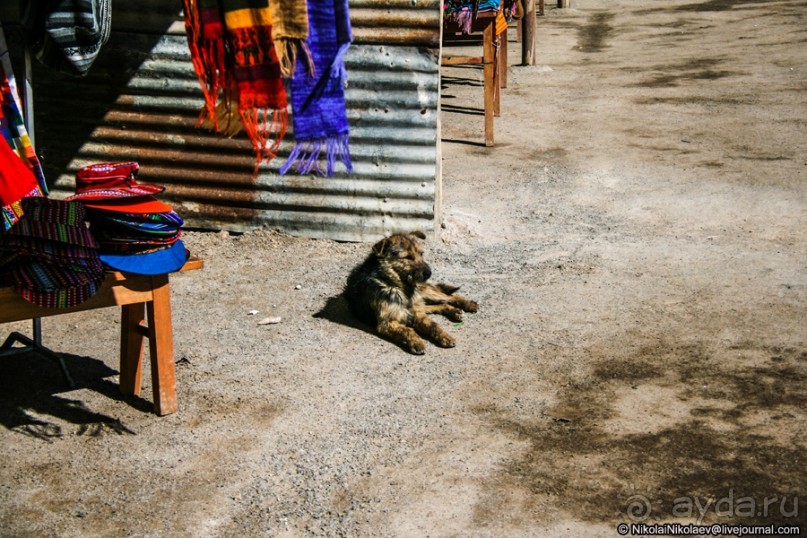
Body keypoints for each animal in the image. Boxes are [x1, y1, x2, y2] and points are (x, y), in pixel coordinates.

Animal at [342, 229, 480, 352]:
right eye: (408, 257)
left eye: (421, 253)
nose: (429, 273)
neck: (396, 286)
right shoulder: (387, 322)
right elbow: (407, 330)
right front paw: (417, 342)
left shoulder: (416, 313)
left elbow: (433, 325)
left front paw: (444, 336)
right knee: (439, 305)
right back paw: (454, 311)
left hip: (425, 294)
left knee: (449, 298)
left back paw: (468, 304)